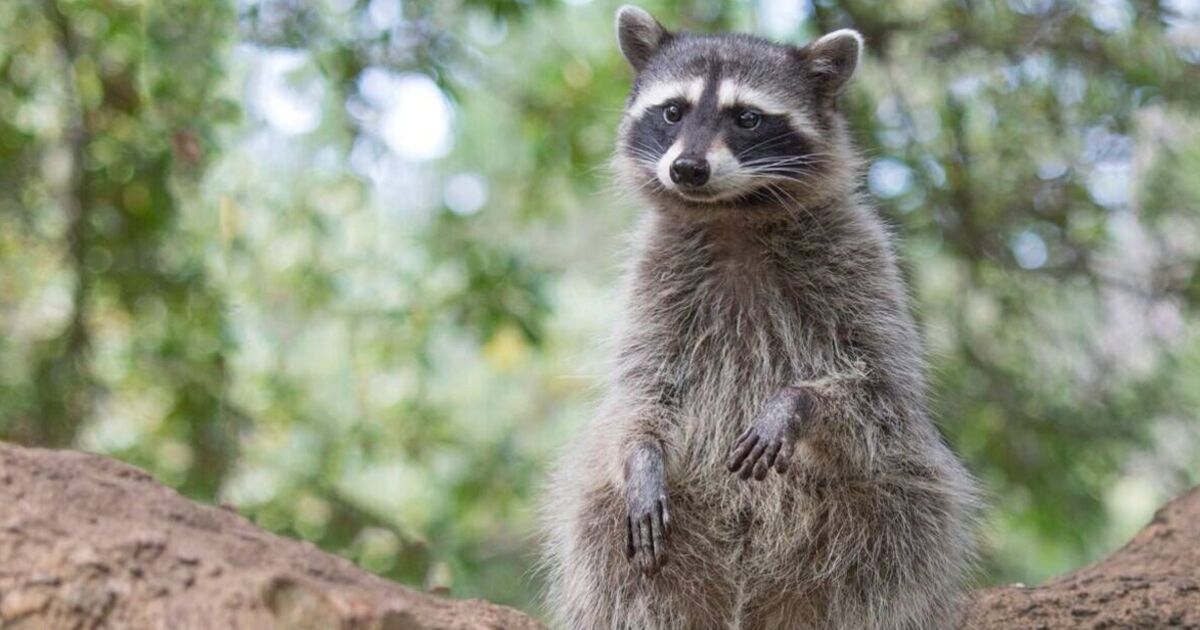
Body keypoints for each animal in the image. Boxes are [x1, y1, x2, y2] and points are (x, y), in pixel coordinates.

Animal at [540, 6, 979, 628]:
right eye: (673, 112)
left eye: (747, 119)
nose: (688, 168)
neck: (731, 214)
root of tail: (749, 597)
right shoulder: (655, 276)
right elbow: (643, 389)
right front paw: (642, 456)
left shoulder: (860, 259)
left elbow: (880, 389)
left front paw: (796, 403)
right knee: (604, 536)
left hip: (862, 528)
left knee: (898, 531)